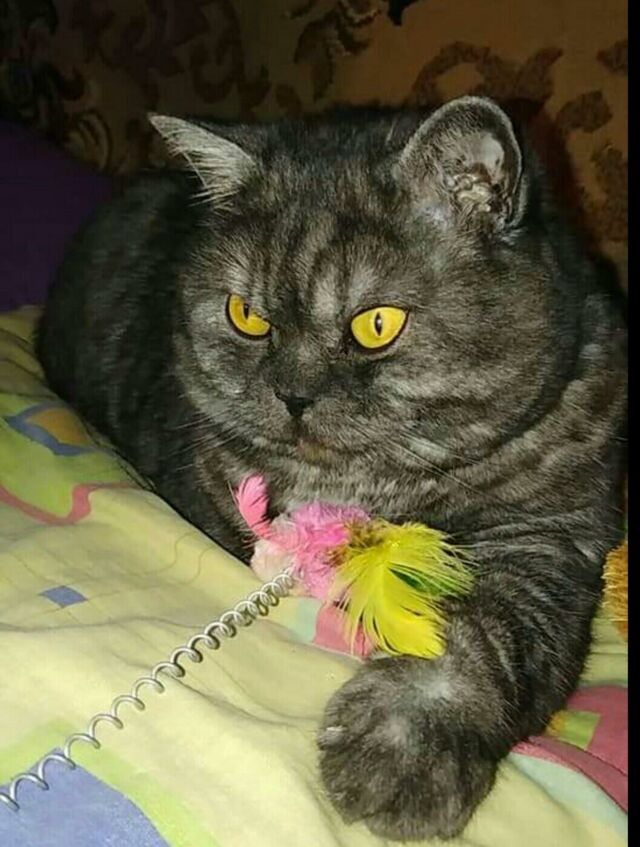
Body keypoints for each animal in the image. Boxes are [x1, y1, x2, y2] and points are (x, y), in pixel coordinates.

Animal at [37, 97, 627, 841]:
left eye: (377, 325)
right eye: (246, 316)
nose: (292, 395)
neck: (377, 486)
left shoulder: (550, 538)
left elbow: (473, 633)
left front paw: (403, 745)